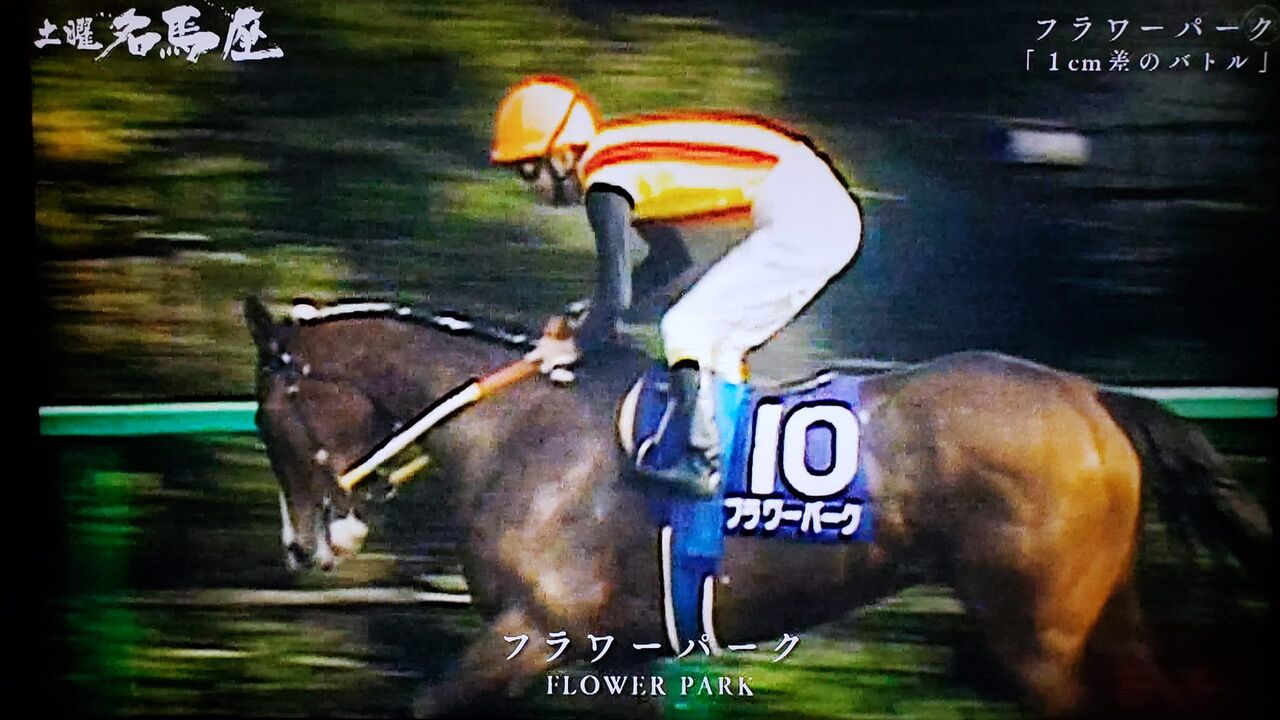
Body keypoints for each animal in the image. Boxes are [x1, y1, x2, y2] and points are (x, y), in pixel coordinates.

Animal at [242, 295, 1268, 718]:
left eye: (265, 415)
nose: (302, 546)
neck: (516, 431)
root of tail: (1092, 397)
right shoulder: (618, 648)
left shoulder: (530, 630)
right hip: (1101, 612)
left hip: (1039, 635)